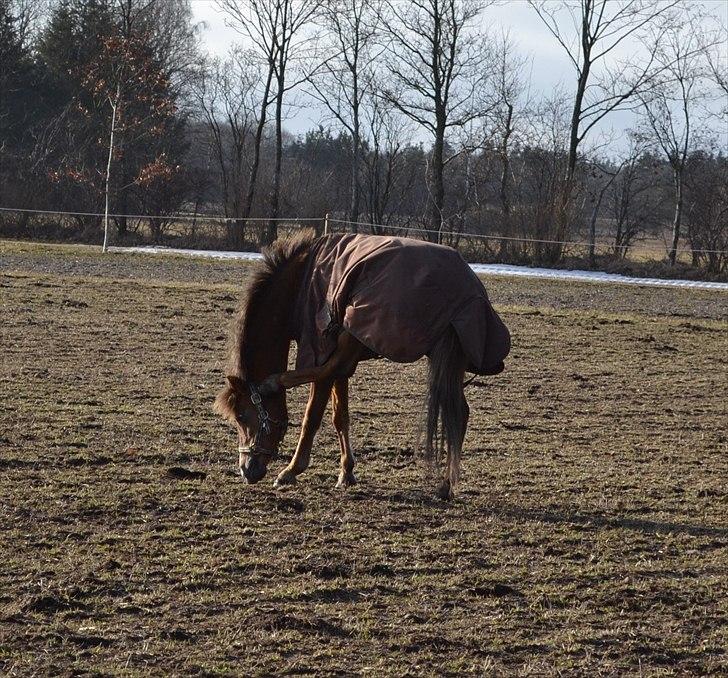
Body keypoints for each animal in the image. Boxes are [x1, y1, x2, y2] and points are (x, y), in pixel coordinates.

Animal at [213, 231, 510, 502]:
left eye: (242, 416)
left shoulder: (324, 345)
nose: (247, 470)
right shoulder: (338, 358)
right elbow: (340, 416)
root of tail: (471, 290)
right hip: (444, 359)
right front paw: (346, 472)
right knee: (460, 412)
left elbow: (312, 416)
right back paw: (446, 485)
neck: (299, 283)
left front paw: (292, 470)